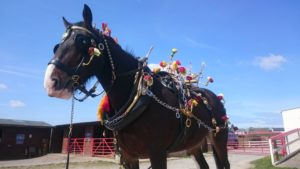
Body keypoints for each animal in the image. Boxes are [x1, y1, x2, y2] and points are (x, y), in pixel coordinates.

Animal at [43, 4, 230, 169]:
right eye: (57, 45)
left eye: (82, 41)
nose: (50, 82)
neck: (138, 97)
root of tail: (212, 96)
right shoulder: (129, 156)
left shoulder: (158, 153)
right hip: (194, 145)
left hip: (219, 138)